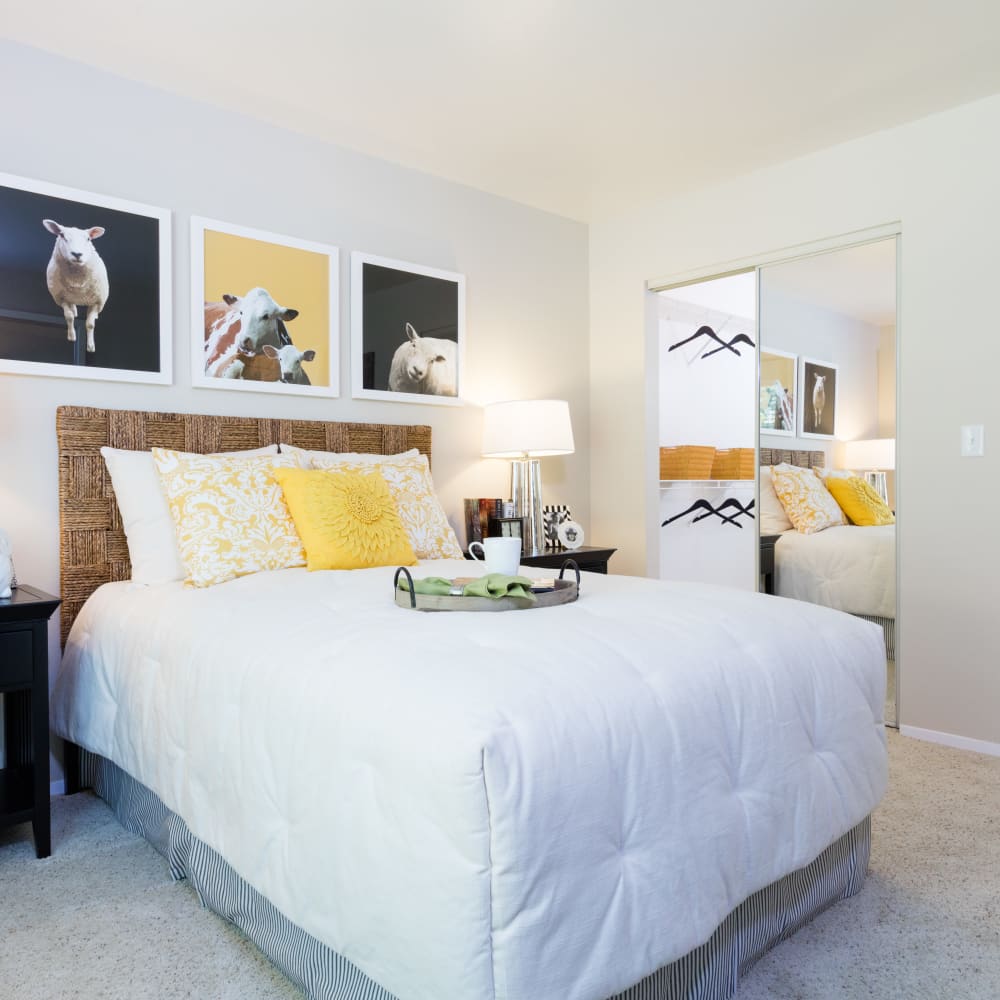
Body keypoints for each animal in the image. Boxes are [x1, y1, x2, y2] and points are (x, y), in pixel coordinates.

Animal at [42, 220, 109, 356]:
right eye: (62, 235)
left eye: (88, 238)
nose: (77, 254)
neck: (77, 281)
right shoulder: (62, 298)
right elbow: (69, 317)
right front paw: (71, 336)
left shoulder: (97, 301)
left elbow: (90, 324)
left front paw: (90, 346)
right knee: (72, 309)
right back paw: (74, 311)